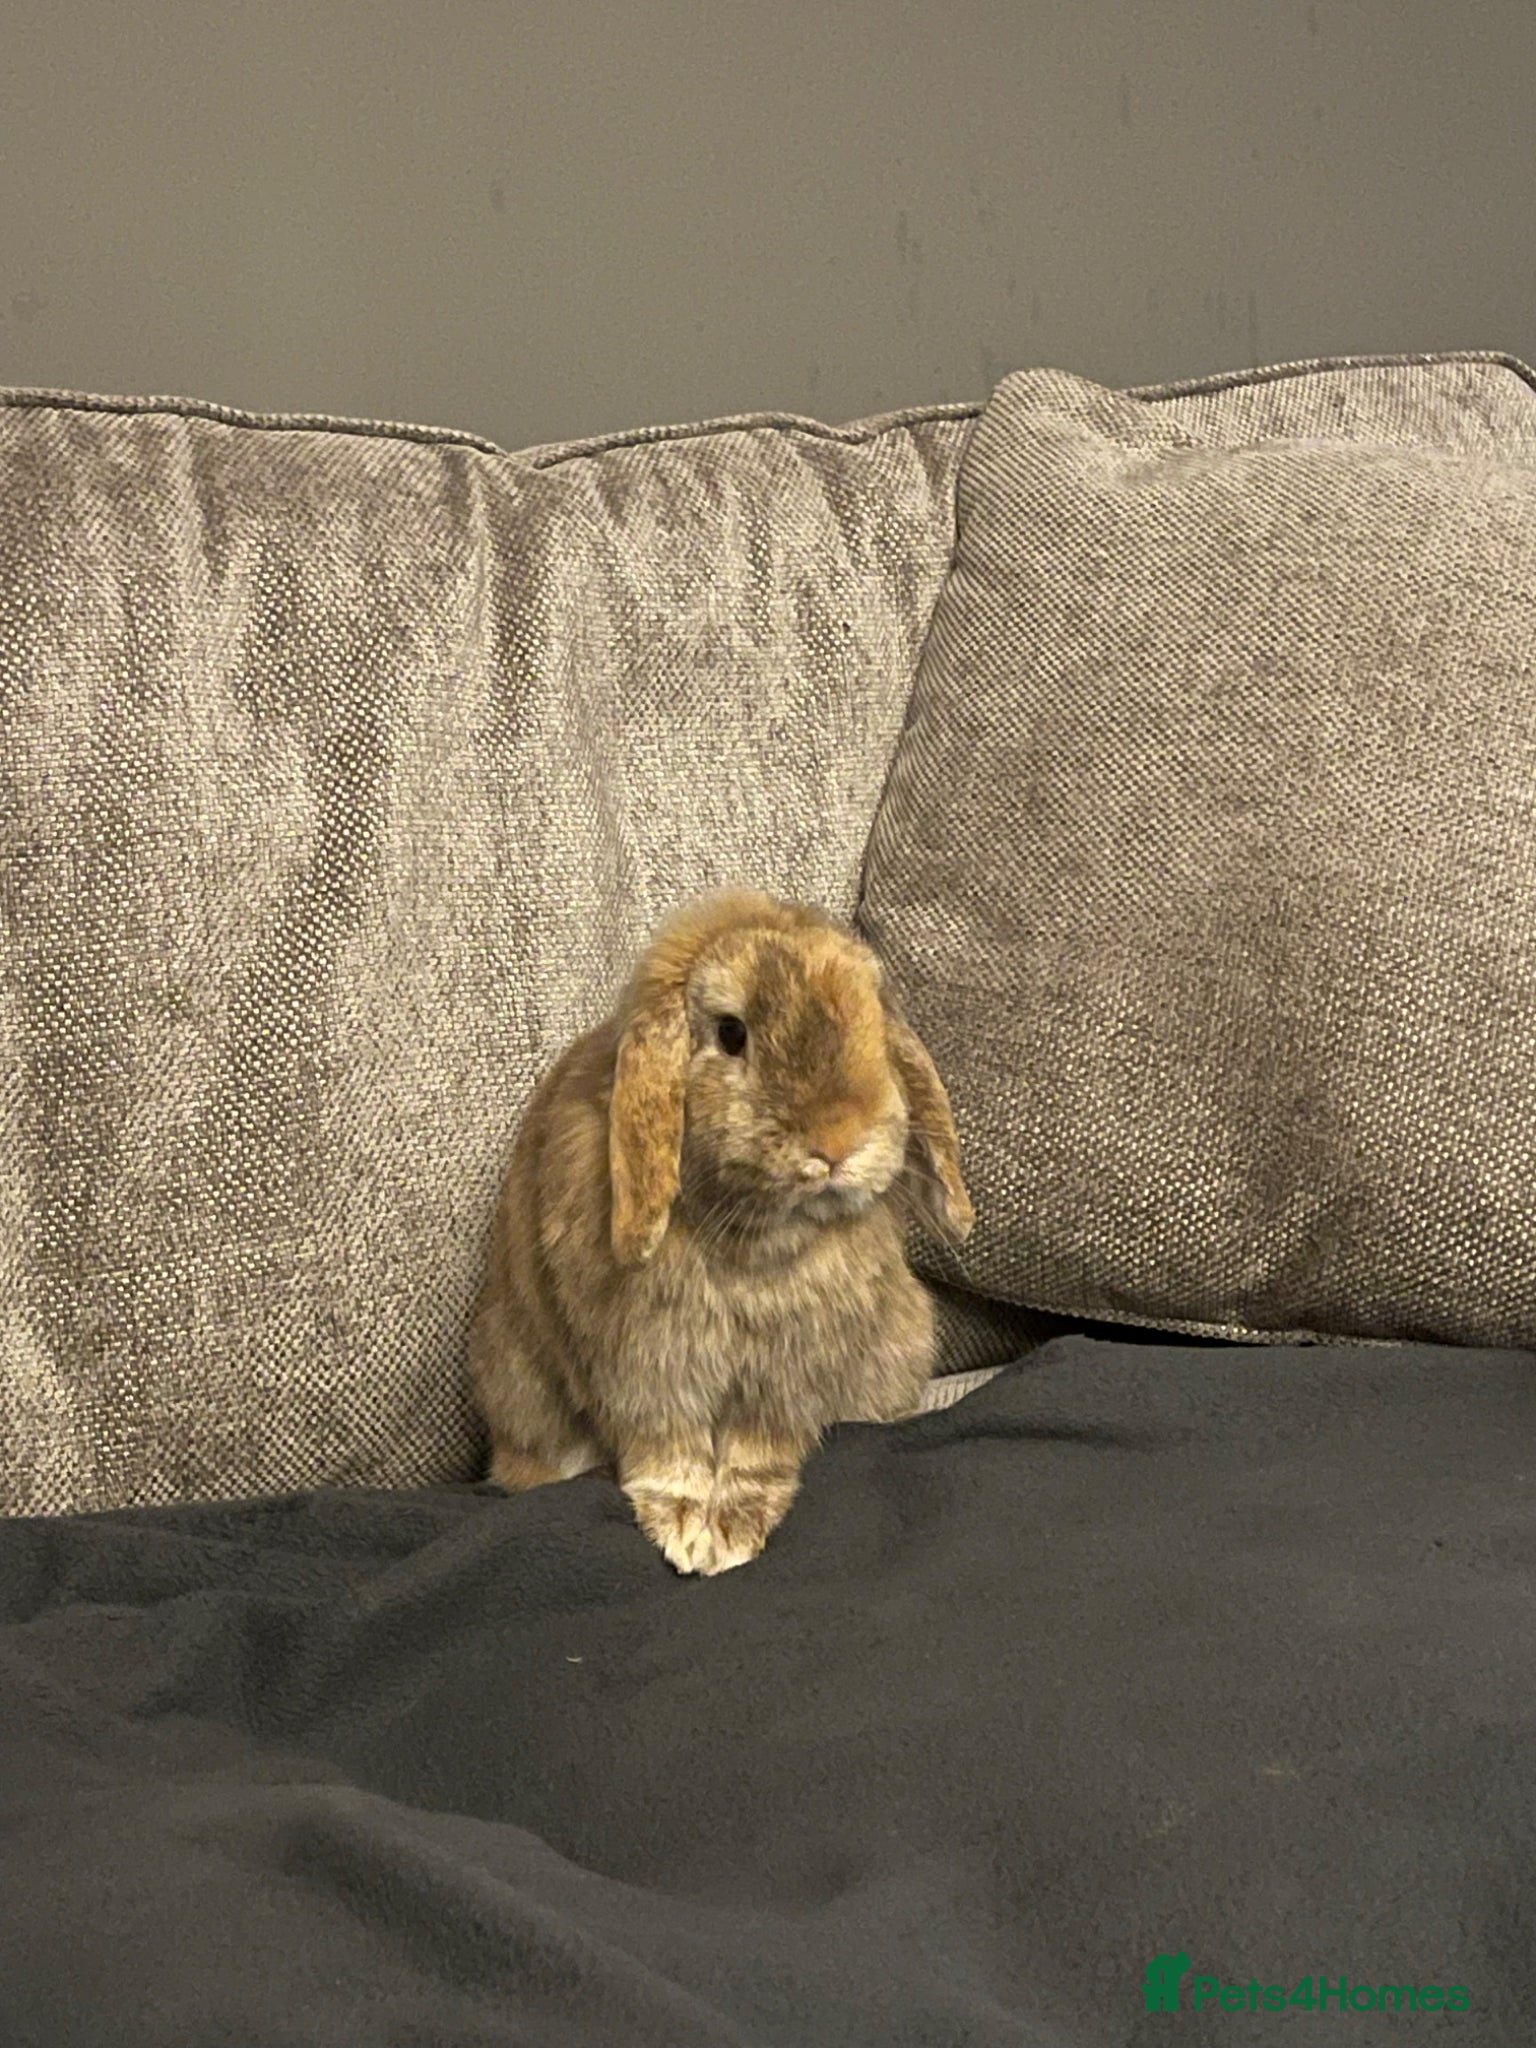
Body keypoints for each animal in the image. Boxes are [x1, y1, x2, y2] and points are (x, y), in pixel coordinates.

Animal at [468, 888, 973, 1575]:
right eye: (732, 1033)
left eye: (872, 1019)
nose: (839, 1141)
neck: (755, 1238)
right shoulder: (647, 1368)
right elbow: (668, 1451)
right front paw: (683, 1529)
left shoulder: (784, 1381)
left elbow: (758, 1455)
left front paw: (733, 1528)